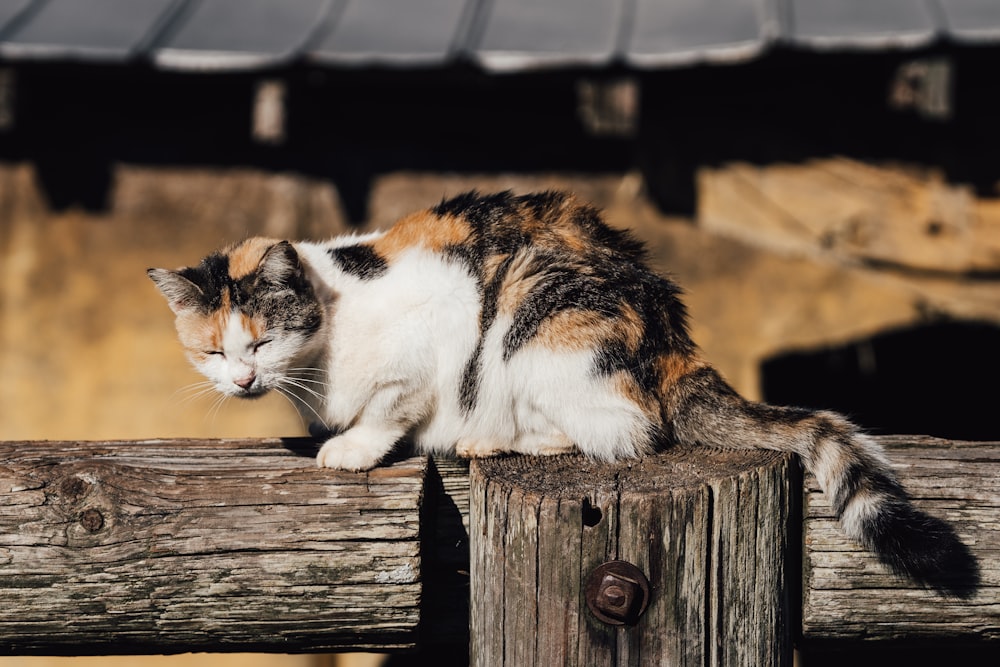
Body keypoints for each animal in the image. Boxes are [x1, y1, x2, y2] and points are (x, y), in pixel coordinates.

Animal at [150, 190, 976, 592]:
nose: (245, 378)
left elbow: (391, 405)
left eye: (260, 341)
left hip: (533, 317)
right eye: (214, 351)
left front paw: (351, 448)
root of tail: (671, 339)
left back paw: (493, 436)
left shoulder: (426, 339)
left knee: (624, 430)